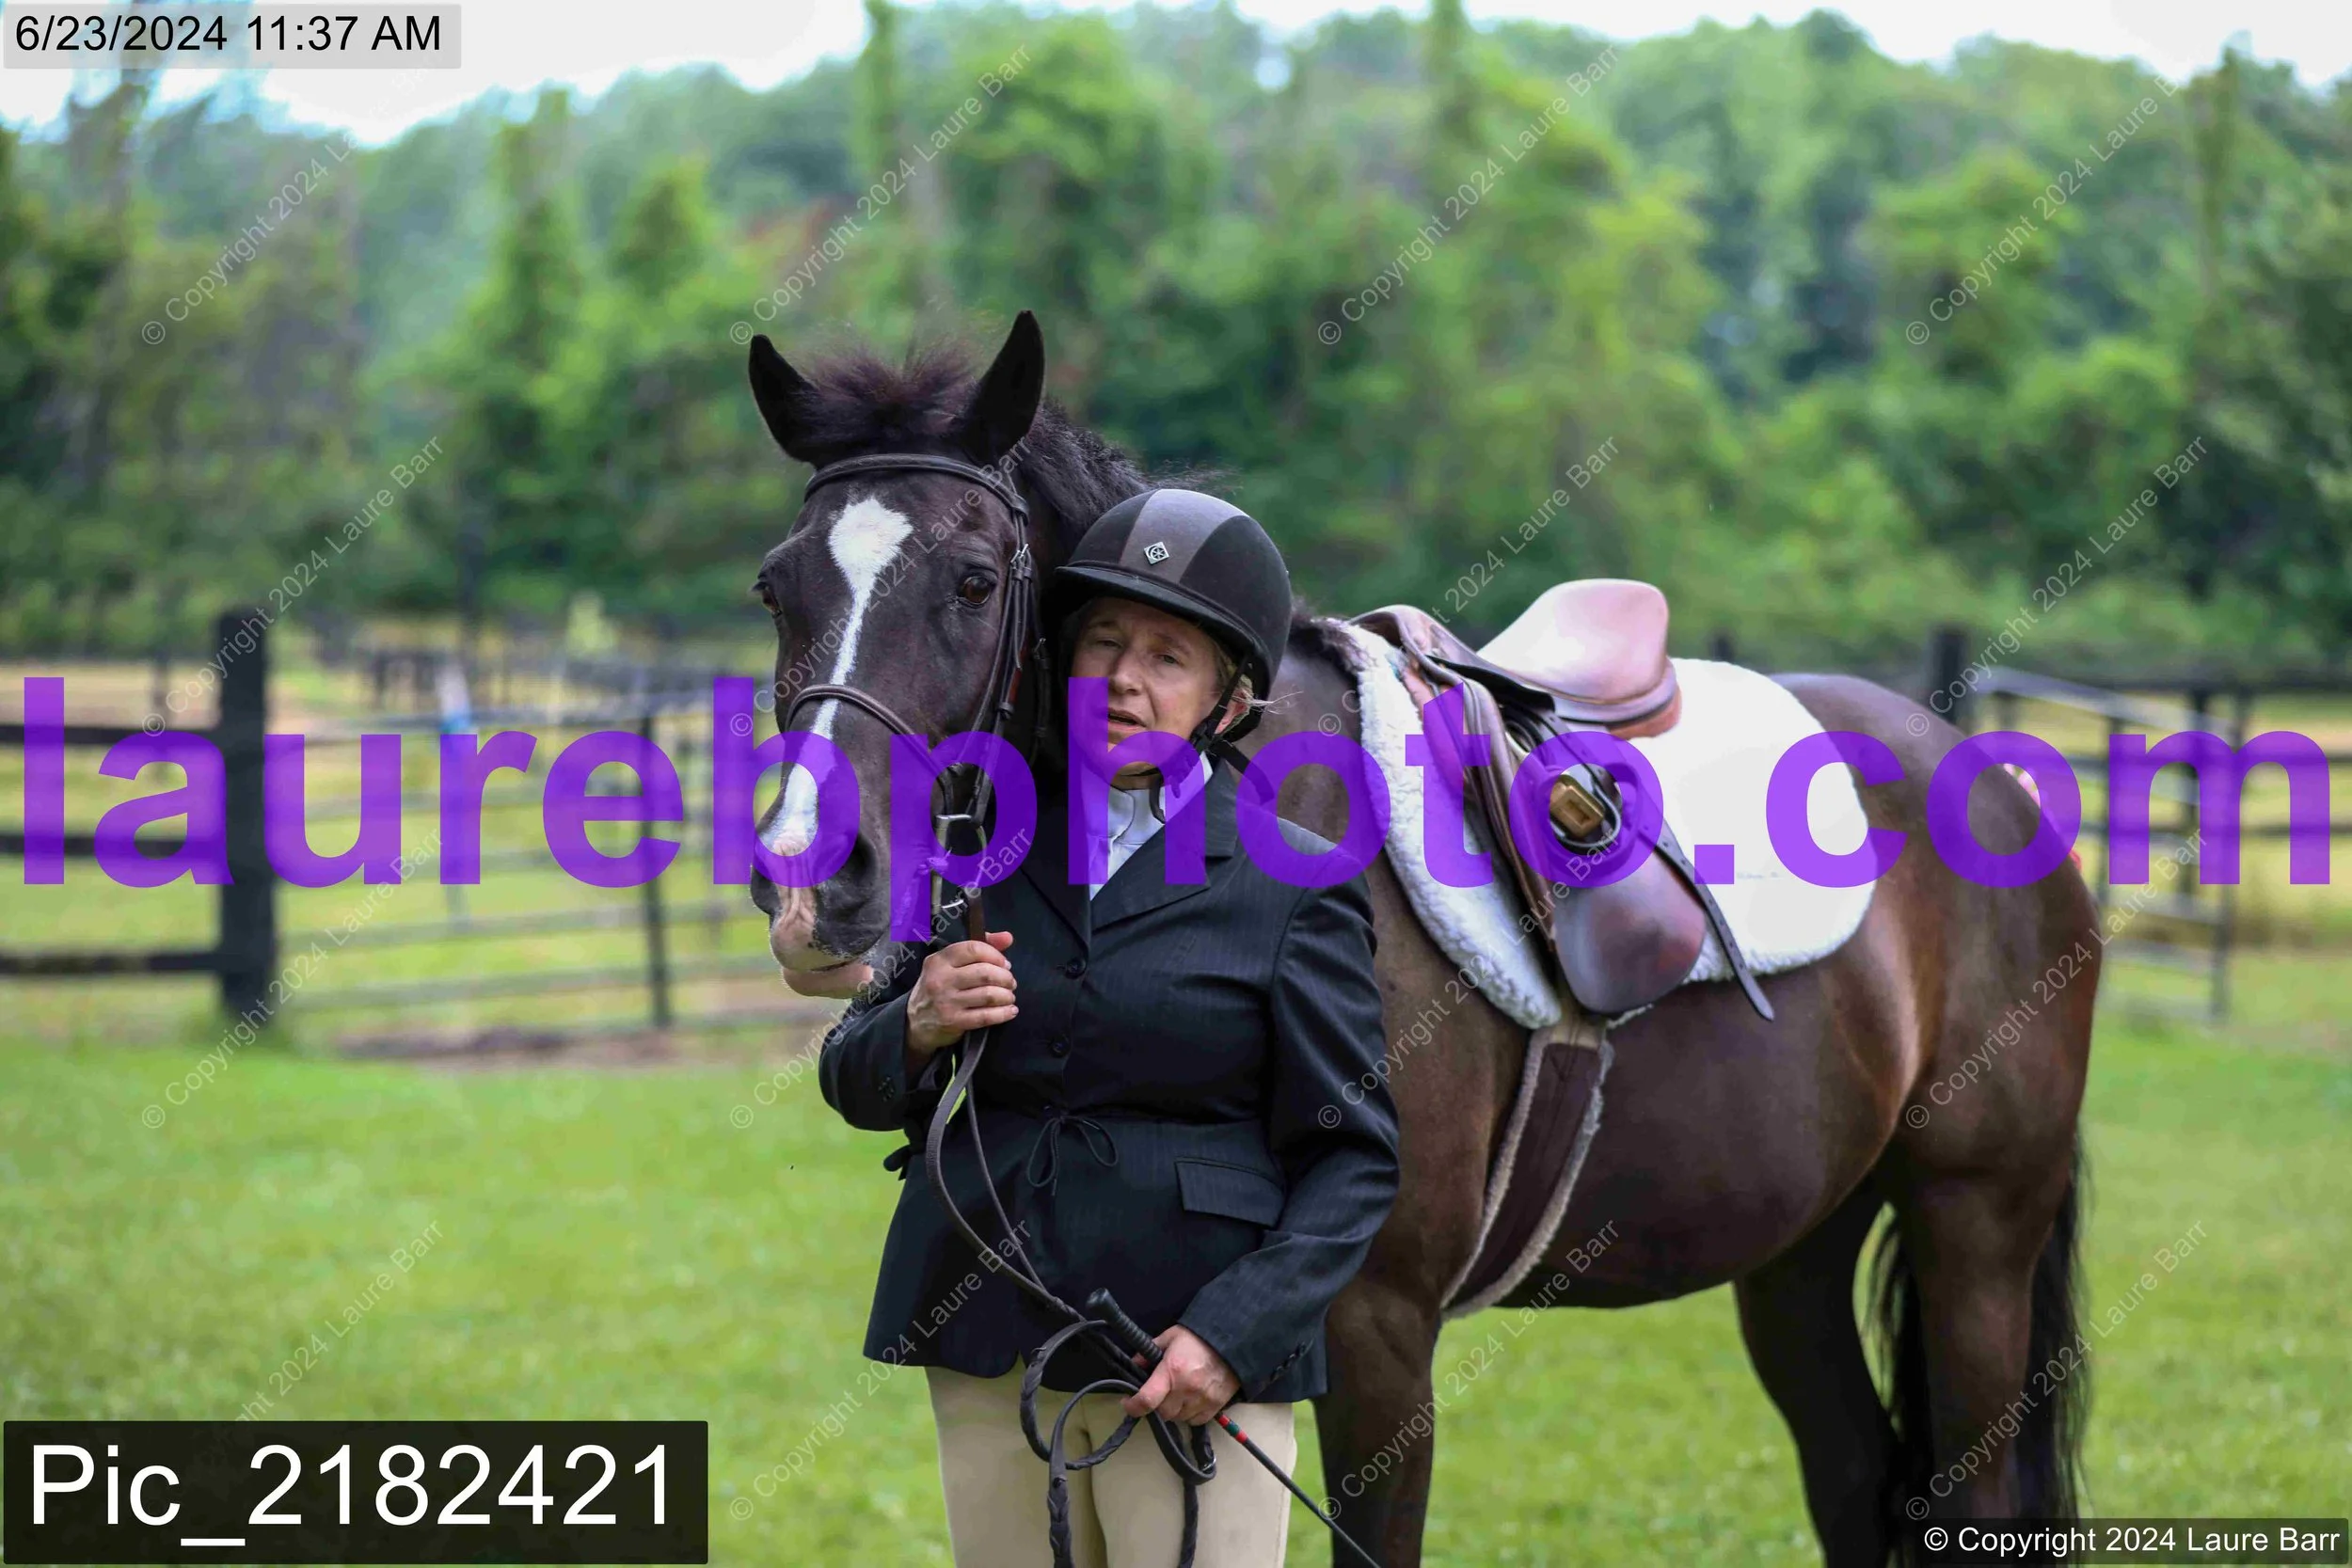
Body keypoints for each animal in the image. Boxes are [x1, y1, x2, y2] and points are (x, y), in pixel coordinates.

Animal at [744, 312, 2096, 1566]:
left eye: (974, 578)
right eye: (778, 585)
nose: (814, 878)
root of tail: (1987, 774)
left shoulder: (1373, 1334)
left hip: (1975, 1229)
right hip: (1799, 1245)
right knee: (1856, 1475)